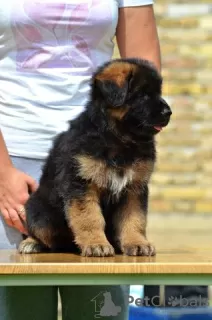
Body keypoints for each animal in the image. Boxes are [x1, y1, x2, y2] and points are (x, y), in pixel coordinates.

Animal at [18, 58, 172, 258]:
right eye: (143, 95)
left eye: (157, 93)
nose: (168, 112)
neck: (118, 139)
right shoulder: (81, 184)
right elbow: (89, 217)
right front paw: (95, 244)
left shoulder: (134, 187)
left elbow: (134, 217)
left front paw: (137, 243)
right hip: (39, 210)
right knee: (41, 231)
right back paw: (31, 242)